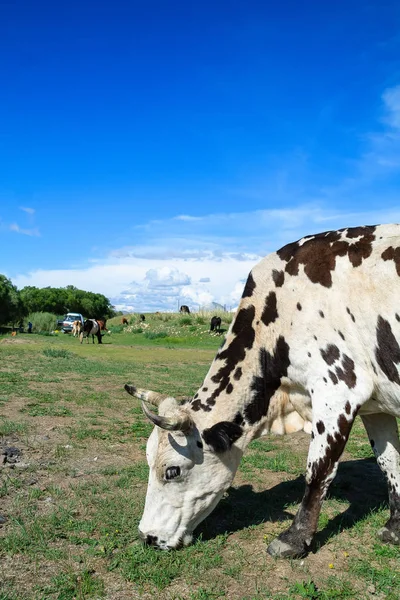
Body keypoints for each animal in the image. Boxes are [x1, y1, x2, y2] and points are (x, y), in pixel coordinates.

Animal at [123, 225, 400, 556]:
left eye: (172, 471)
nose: (147, 536)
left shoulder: (338, 389)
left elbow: (318, 470)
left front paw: (294, 537)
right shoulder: (376, 405)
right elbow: (389, 462)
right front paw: (395, 527)